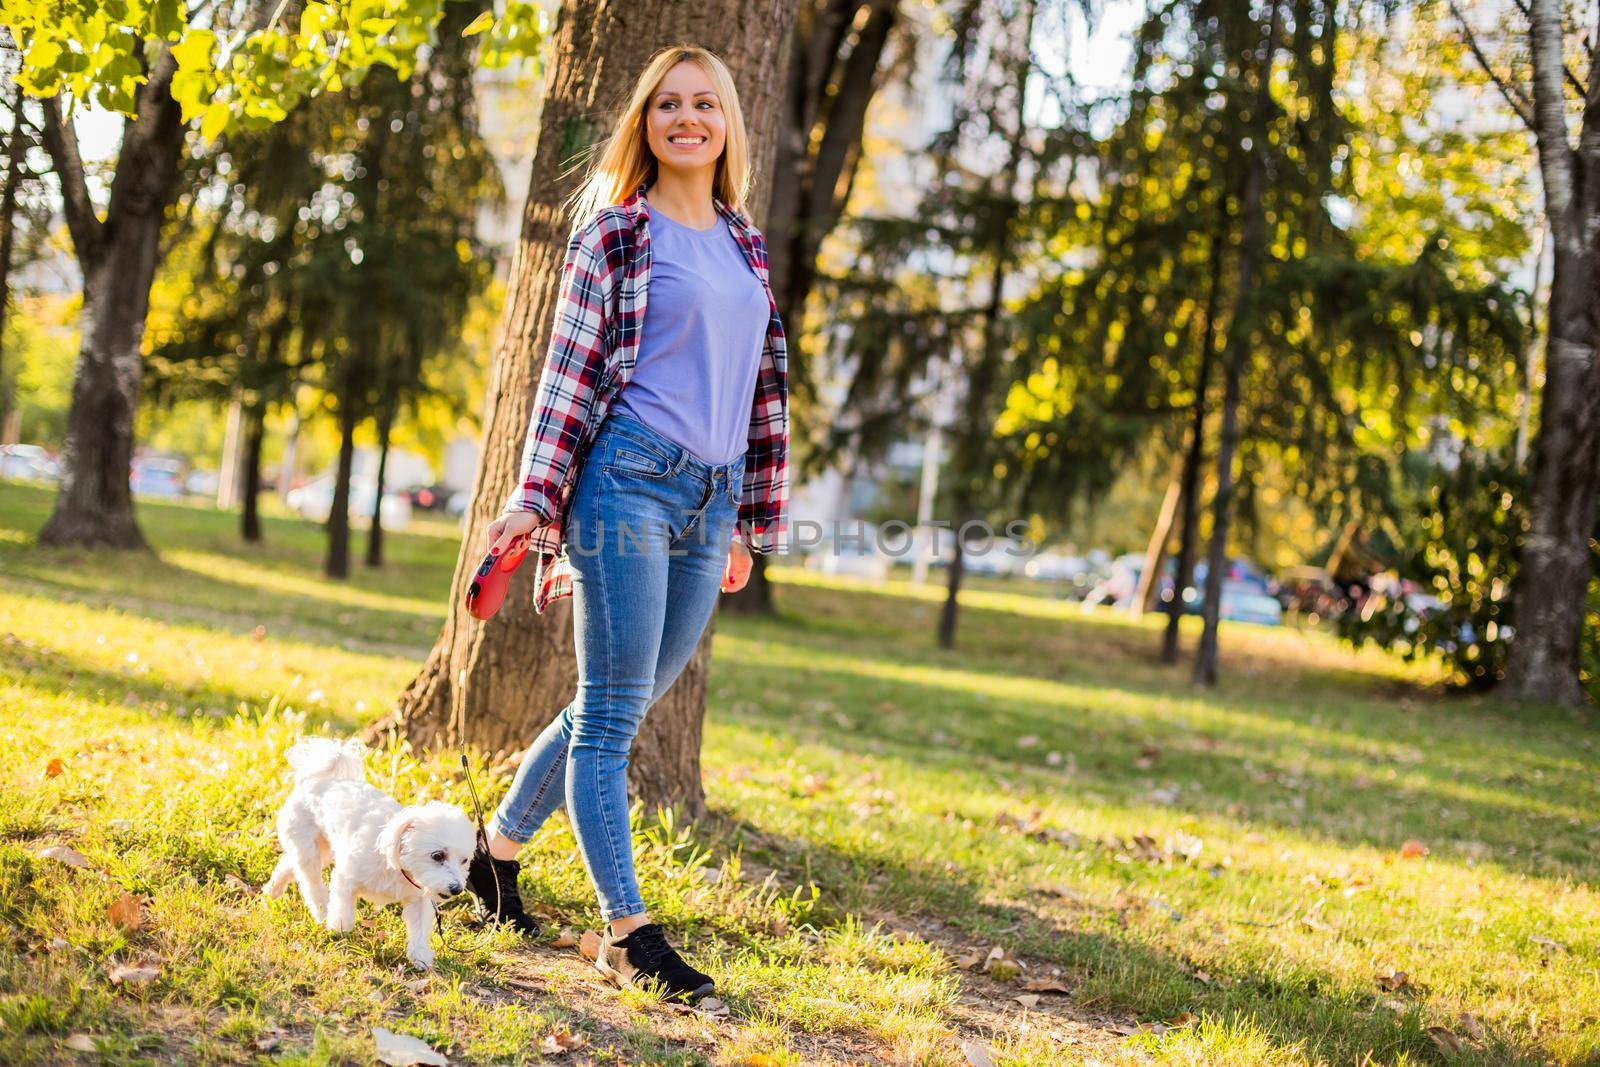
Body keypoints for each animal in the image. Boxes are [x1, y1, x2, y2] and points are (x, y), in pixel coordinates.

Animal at [259, 739, 473, 972]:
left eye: (464, 860)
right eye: (437, 855)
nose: (457, 889)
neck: (395, 864)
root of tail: (318, 780)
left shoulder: (418, 898)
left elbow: (418, 929)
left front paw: (420, 956)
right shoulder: (345, 879)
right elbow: (343, 908)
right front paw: (338, 929)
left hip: (318, 849)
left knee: (288, 863)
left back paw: (272, 891)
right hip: (309, 848)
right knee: (310, 882)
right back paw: (321, 911)